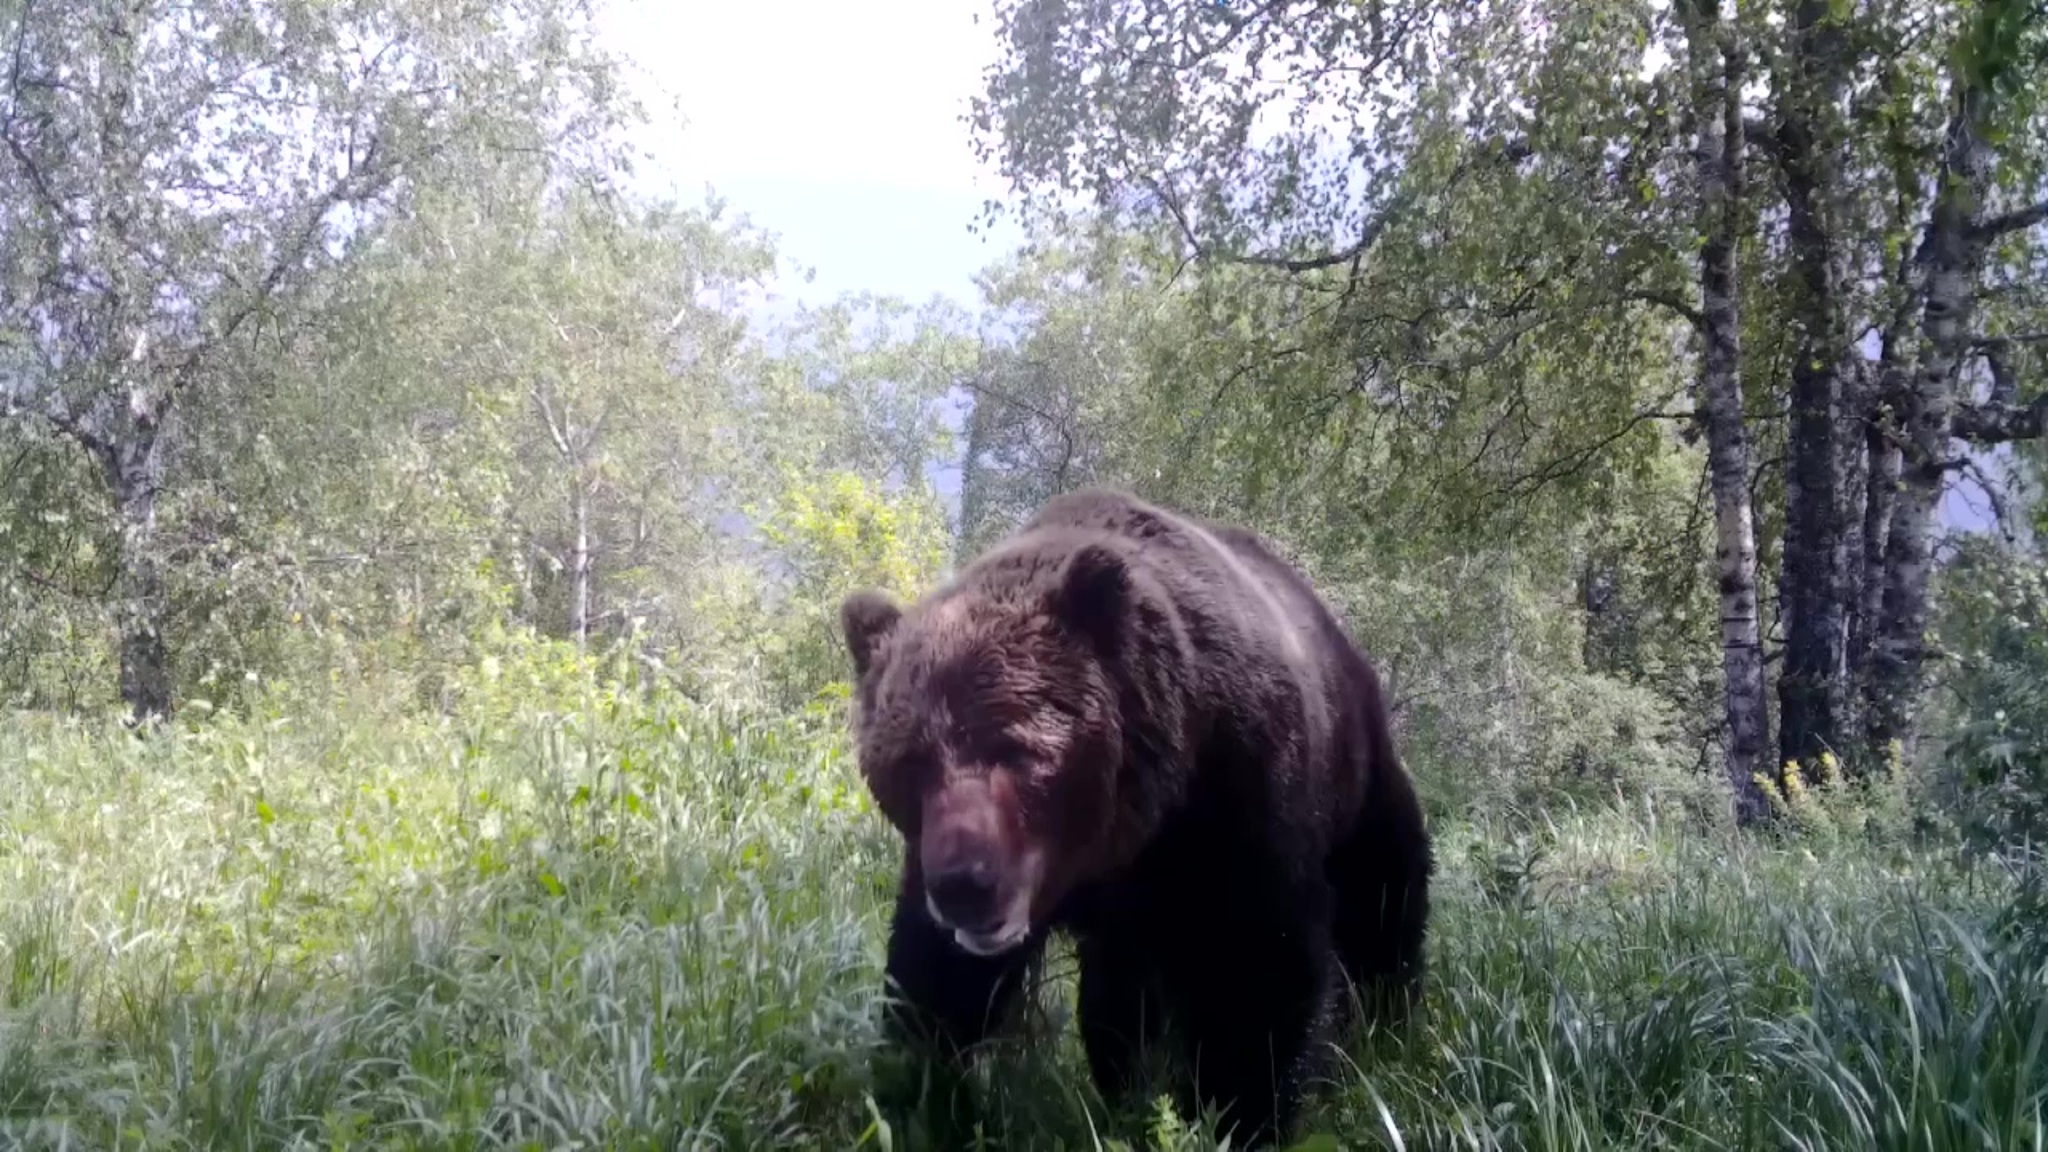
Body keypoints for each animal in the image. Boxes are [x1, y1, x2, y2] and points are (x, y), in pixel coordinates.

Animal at [838, 487, 1432, 1146]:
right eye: (910, 764)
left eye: (1015, 749)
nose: (964, 886)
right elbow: (934, 987)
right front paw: (916, 1101)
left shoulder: (1238, 805)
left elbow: (1258, 973)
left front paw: (1241, 1114)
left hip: (1357, 775)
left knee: (1386, 895)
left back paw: (1386, 1027)